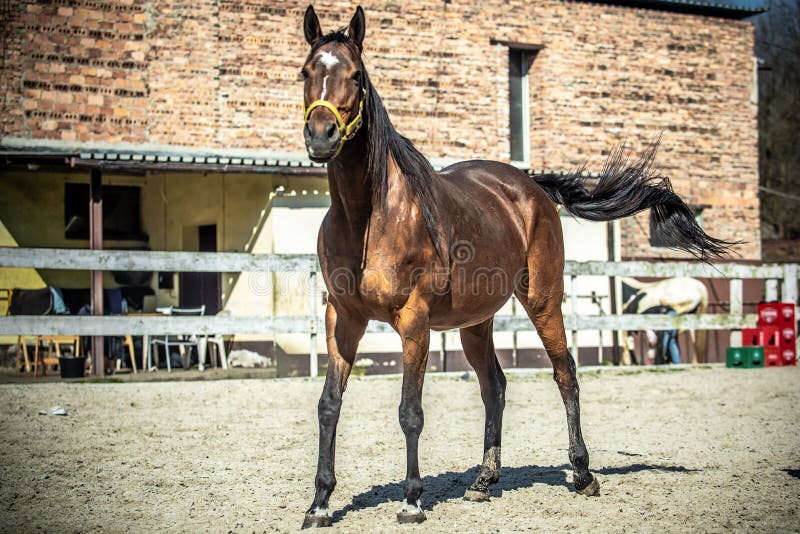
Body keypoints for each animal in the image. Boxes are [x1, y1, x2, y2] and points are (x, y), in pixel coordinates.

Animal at [298, 6, 732, 528]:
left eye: (357, 76)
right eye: (306, 71)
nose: (321, 136)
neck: (369, 217)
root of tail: (531, 187)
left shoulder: (414, 321)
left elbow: (409, 411)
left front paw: (412, 500)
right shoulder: (342, 317)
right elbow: (328, 405)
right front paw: (320, 503)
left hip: (543, 301)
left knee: (565, 374)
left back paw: (583, 473)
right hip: (475, 322)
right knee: (495, 386)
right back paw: (485, 480)